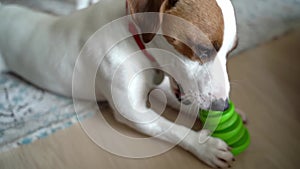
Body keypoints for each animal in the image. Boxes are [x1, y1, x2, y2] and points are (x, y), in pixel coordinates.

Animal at [0, 0, 239, 168]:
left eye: (231, 51)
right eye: (202, 49)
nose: (223, 106)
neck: (133, 37)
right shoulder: (133, 112)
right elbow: (173, 129)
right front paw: (204, 145)